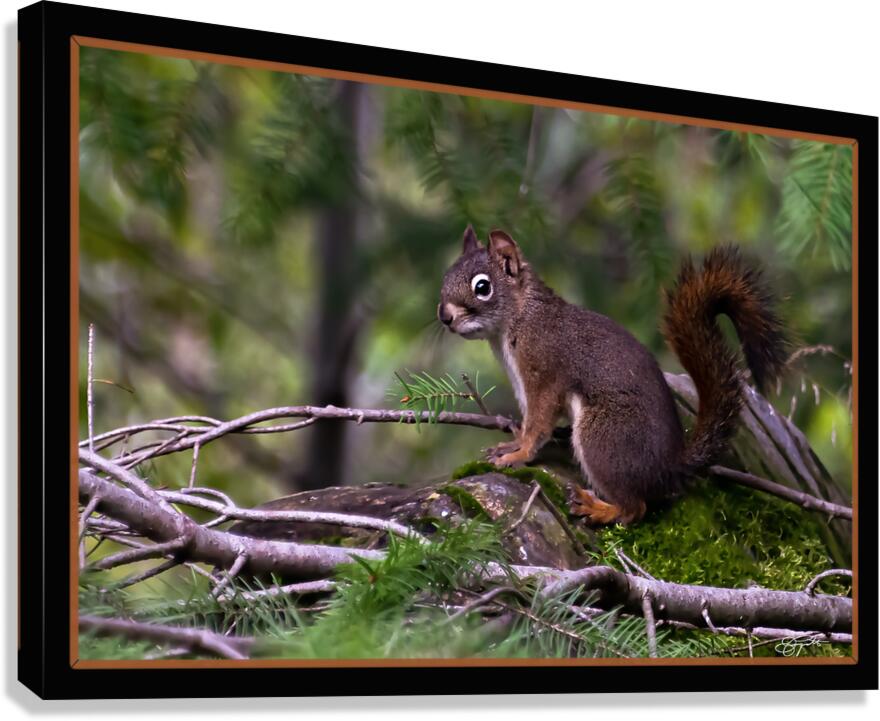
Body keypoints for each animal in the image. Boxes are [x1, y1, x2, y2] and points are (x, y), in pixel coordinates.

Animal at [437, 225, 787, 525]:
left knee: (635, 508)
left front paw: (520, 453)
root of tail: (669, 466)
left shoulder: (544, 375)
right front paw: (511, 443)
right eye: (447, 275)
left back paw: (598, 508)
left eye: (482, 287)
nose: (444, 317)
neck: (521, 318)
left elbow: (538, 423)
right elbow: (528, 422)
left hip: (604, 437)